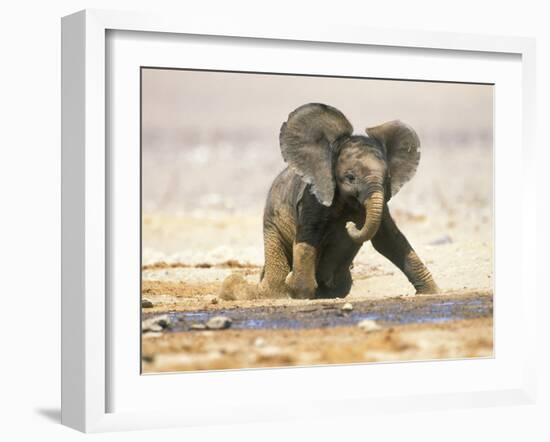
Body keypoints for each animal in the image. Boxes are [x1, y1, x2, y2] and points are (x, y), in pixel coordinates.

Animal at [260, 102, 442, 298]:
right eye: (350, 177)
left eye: (387, 178)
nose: (350, 225)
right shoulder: (313, 198)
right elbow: (309, 237)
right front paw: (300, 293)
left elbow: (388, 240)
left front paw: (432, 292)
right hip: (271, 224)